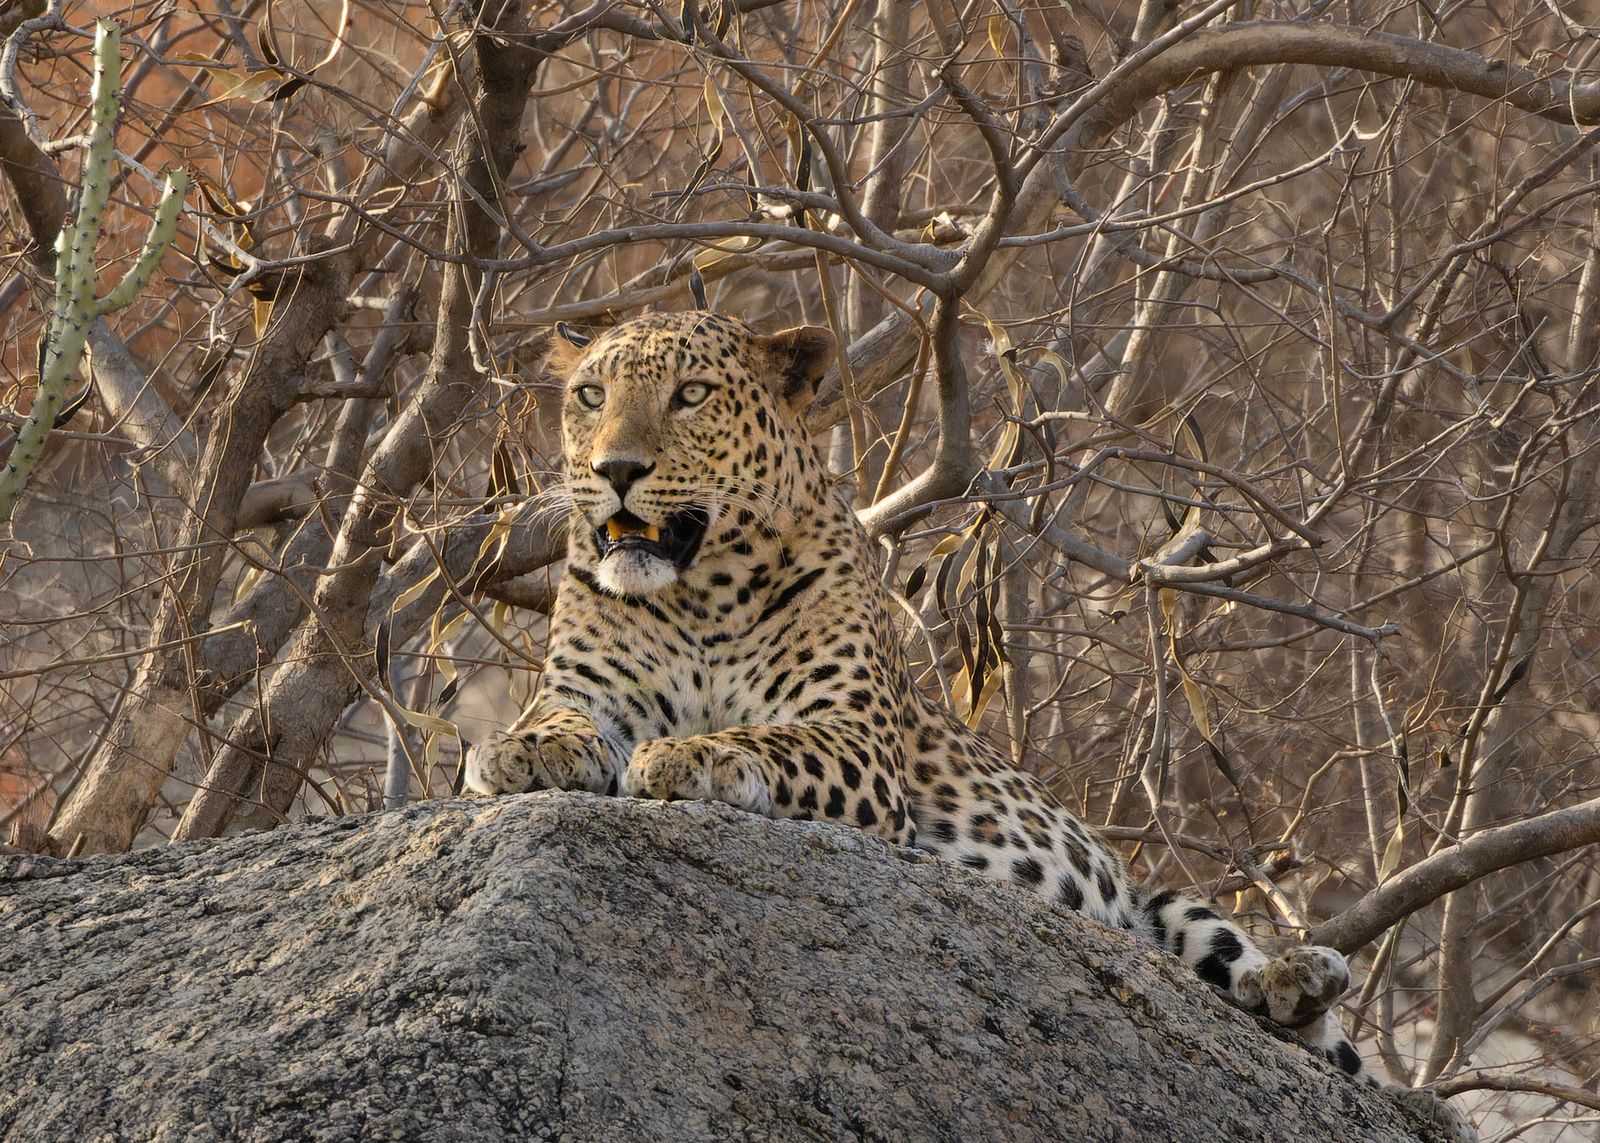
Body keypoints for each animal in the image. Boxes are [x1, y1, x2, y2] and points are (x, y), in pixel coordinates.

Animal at [466, 309, 1366, 1079]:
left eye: (690, 394)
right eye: (591, 396)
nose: (614, 470)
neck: (699, 593)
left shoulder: (853, 736)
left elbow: (765, 737)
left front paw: (693, 754)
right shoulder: (591, 691)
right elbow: (556, 719)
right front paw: (519, 750)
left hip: (1167, 899)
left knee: (1285, 1003)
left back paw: (1298, 973)